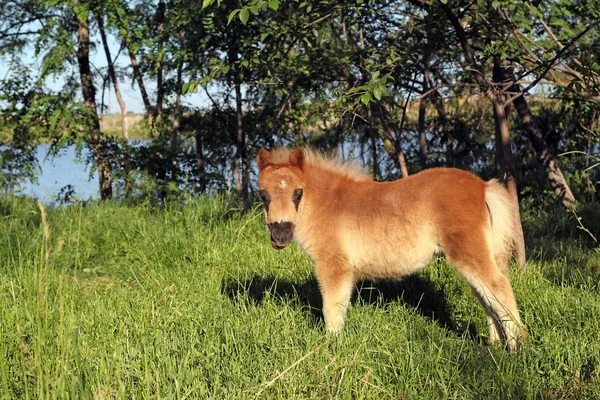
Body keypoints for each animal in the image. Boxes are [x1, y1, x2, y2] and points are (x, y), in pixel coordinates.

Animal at [255, 147, 528, 350]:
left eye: (298, 193)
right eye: (263, 195)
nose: (280, 235)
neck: (326, 204)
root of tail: (483, 187)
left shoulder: (333, 265)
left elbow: (332, 309)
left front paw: (331, 348)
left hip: (469, 254)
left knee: (499, 288)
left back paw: (517, 347)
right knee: (486, 297)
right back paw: (495, 347)